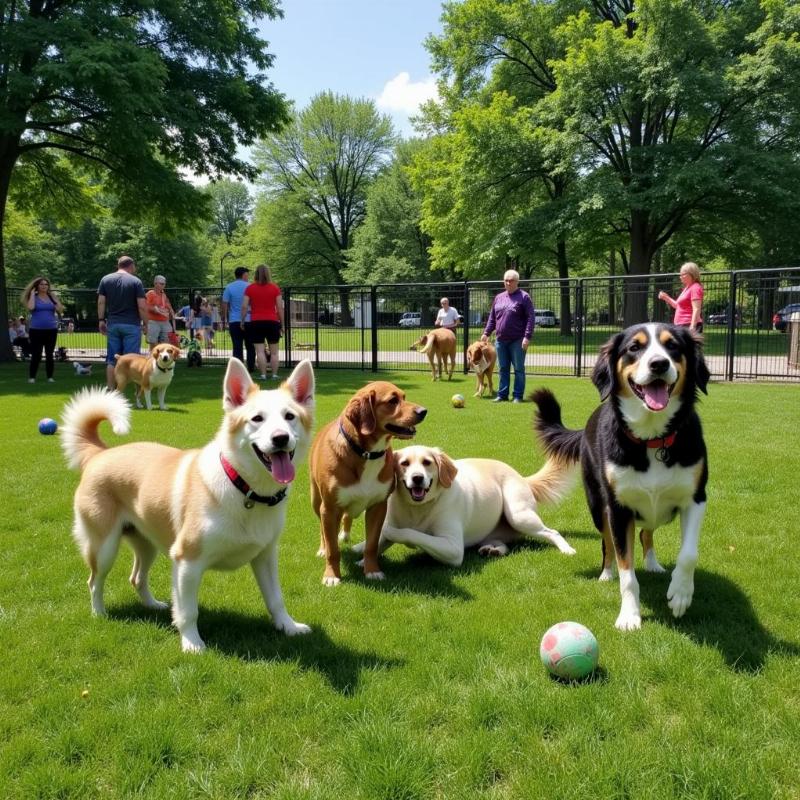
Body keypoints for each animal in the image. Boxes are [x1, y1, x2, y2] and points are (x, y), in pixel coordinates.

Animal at [61, 360, 316, 652]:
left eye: (290, 416)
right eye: (256, 419)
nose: (281, 438)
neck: (245, 489)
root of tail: (100, 453)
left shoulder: (265, 556)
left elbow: (276, 598)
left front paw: (288, 626)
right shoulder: (187, 561)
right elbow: (188, 611)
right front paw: (192, 644)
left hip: (146, 542)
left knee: (136, 577)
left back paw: (154, 606)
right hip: (103, 547)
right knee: (94, 581)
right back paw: (99, 613)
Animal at [310, 382, 428, 588]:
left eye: (404, 397)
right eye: (392, 400)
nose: (423, 411)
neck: (367, 453)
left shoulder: (378, 506)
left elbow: (372, 544)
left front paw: (372, 570)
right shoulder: (330, 508)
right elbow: (333, 548)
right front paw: (331, 575)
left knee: (347, 516)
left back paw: (345, 535)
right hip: (316, 501)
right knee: (324, 530)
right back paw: (323, 547)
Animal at [354, 444, 576, 568]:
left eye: (427, 462)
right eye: (404, 464)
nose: (417, 478)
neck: (418, 508)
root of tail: (522, 477)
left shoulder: (453, 548)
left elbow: (410, 533)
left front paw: (389, 534)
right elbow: (377, 544)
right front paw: (364, 559)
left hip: (519, 515)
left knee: (552, 532)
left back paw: (567, 550)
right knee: (502, 543)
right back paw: (492, 550)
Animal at [536, 320, 708, 632]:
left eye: (672, 346)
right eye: (634, 348)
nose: (659, 363)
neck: (652, 440)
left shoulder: (696, 497)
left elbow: (688, 554)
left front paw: (680, 593)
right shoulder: (618, 508)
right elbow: (626, 569)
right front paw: (629, 615)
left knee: (646, 531)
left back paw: (653, 564)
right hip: (597, 506)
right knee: (608, 543)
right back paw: (606, 573)